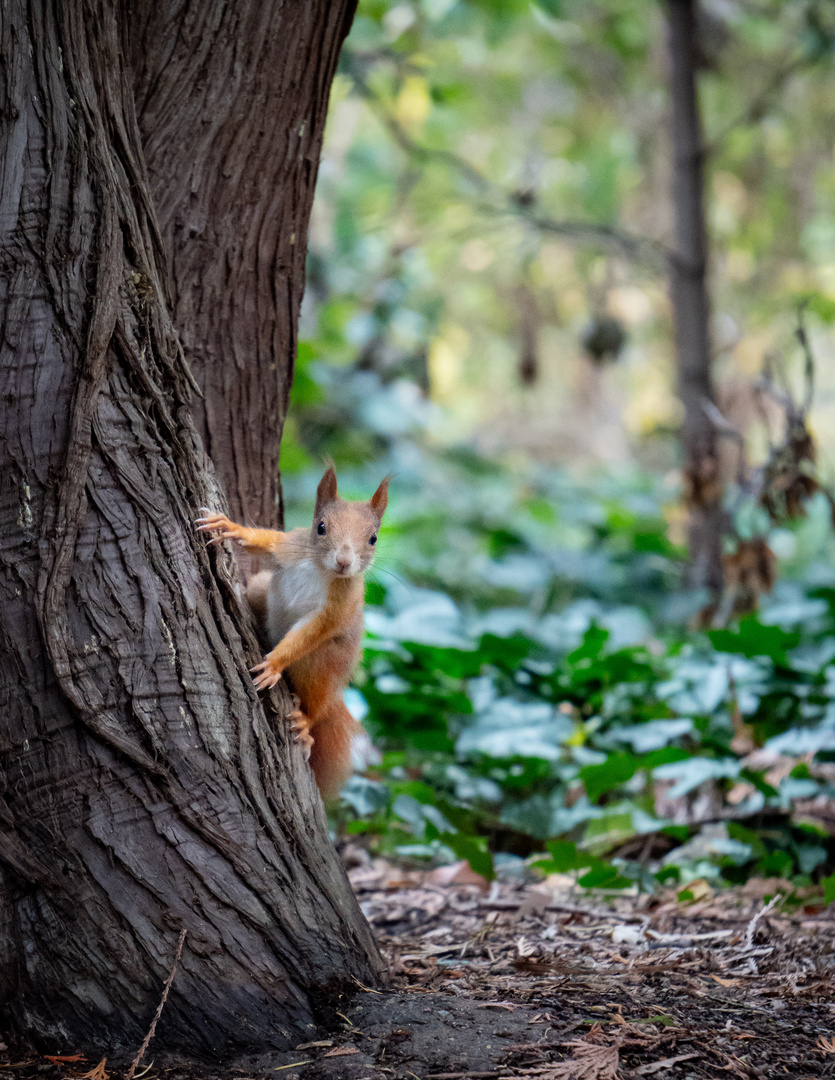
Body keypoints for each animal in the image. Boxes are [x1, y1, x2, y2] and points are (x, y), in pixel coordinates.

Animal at [196, 468, 388, 799]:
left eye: (373, 538)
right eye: (320, 527)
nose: (344, 562)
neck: (321, 568)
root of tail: (335, 694)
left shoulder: (336, 609)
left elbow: (309, 633)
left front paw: (273, 664)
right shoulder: (290, 547)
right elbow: (266, 543)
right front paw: (229, 527)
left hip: (321, 667)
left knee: (316, 703)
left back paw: (306, 721)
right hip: (260, 588)